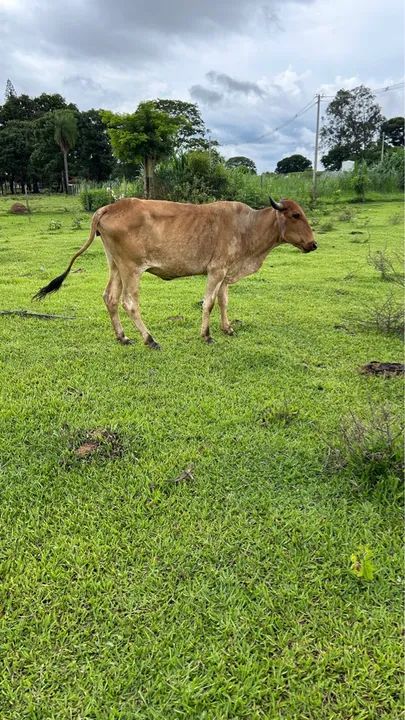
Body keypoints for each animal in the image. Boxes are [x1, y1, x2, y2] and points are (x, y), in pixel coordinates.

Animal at [33, 196, 317, 349]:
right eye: (295, 215)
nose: (314, 244)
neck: (247, 227)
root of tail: (110, 207)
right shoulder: (216, 270)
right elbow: (209, 303)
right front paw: (206, 335)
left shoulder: (226, 273)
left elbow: (224, 301)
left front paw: (227, 329)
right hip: (131, 268)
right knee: (129, 302)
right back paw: (149, 339)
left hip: (114, 265)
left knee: (110, 298)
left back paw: (123, 337)